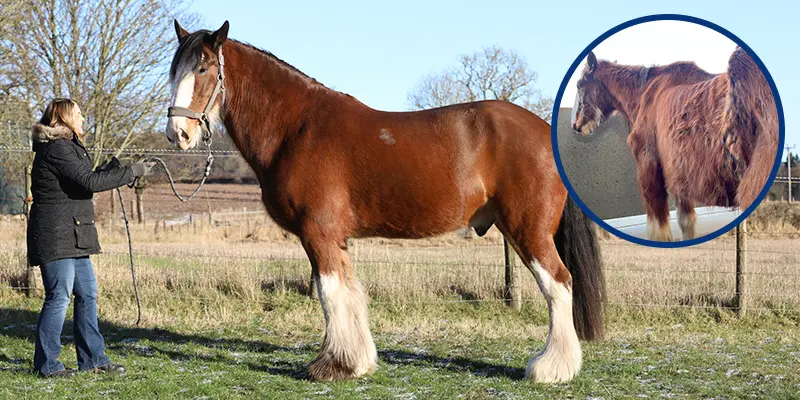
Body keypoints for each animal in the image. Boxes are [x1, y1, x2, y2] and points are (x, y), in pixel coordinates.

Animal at [164, 20, 604, 383]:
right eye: (174, 70)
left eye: (203, 68)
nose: (177, 133)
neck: (297, 129)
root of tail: (545, 131)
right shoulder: (336, 238)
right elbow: (349, 292)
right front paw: (355, 362)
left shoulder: (318, 234)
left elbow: (329, 294)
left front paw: (334, 366)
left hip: (529, 231)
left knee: (559, 284)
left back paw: (551, 369)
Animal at [571, 48, 778, 242]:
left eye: (580, 85)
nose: (576, 125)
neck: (645, 93)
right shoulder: (680, 176)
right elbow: (687, 223)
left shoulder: (648, 164)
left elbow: (658, 230)